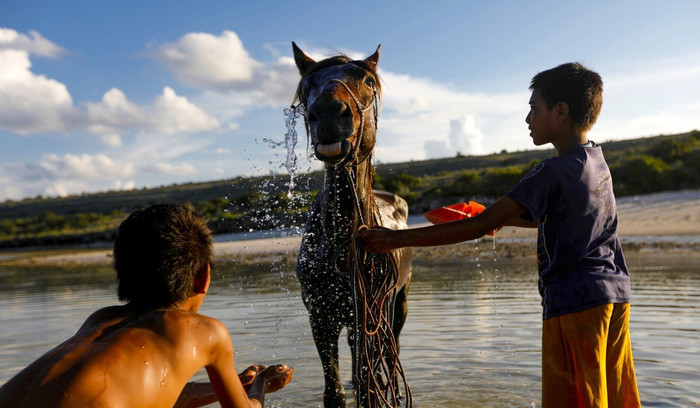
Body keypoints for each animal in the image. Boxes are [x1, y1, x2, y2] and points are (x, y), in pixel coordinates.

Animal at [292, 42, 412, 408]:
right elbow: (337, 391)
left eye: (368, 81)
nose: (329, 112)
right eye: (307, 85)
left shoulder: (368, 317)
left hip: (398, 305)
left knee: (390, 354)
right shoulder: (321, 317)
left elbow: (368, 383)